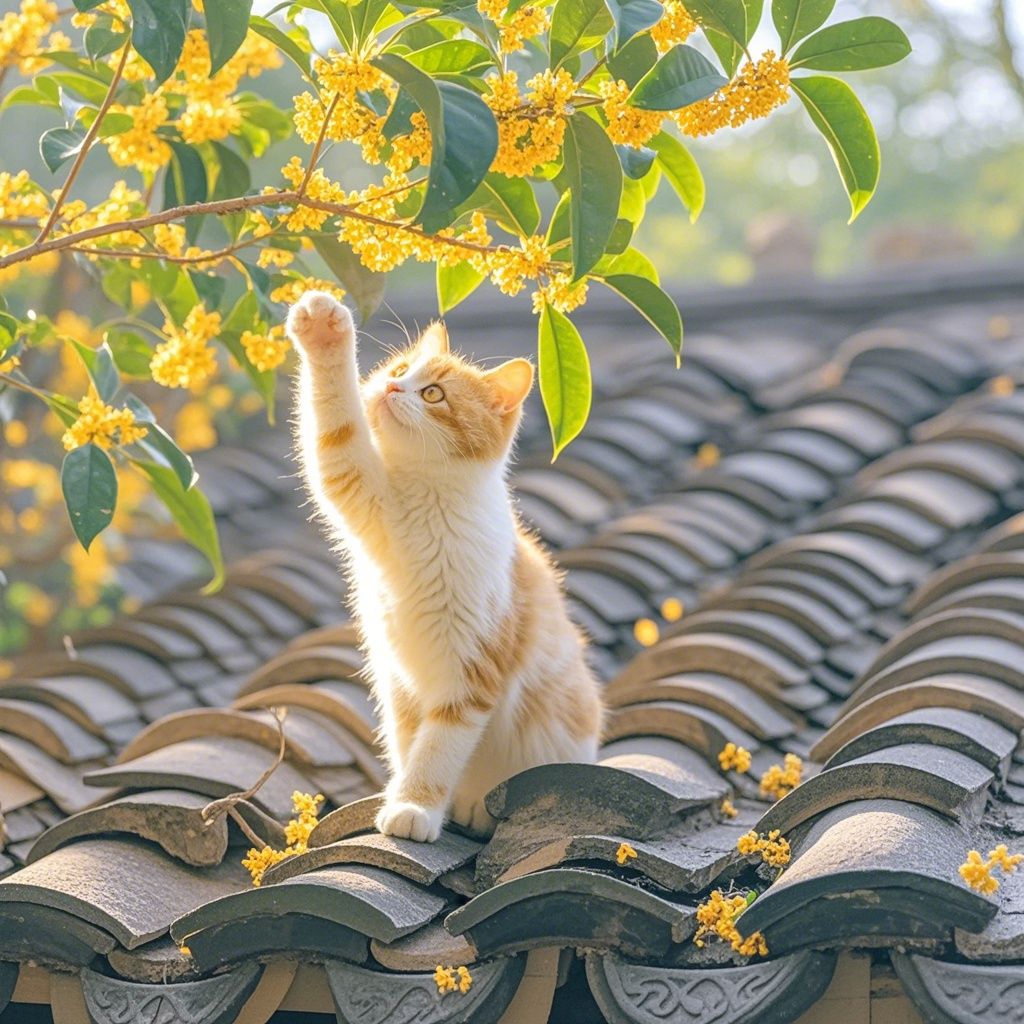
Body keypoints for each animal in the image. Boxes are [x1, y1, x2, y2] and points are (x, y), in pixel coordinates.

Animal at [288, 288, 602, 839]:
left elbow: (439, 747)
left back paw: (475, 804)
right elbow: (336, 433)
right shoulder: (360, 488)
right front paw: (324, 331)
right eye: (400, 368)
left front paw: (414, 806)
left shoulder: (470, 672)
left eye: (433, 394)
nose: (392, 386)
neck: (427, 495)